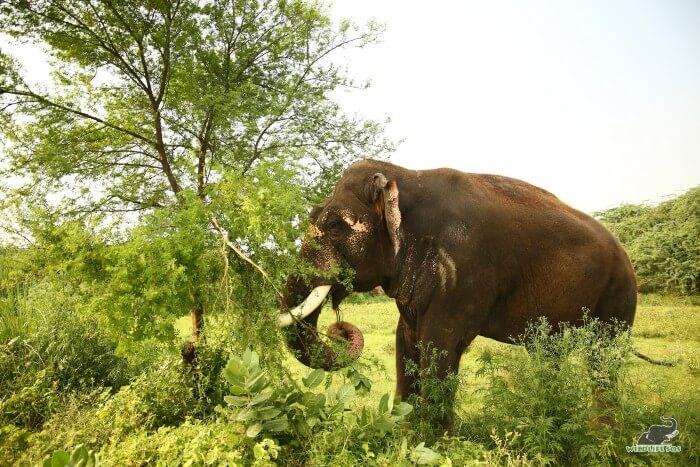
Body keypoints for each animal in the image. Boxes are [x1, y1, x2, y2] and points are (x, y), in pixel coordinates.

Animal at [276, 159, 636, 426]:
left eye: (335, 226)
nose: (340, 330)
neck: (405, 176)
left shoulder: (465, 271)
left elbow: (441, 344)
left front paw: (435, 442)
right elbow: (406, 341)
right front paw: (406, 433)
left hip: (618, 299)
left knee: (604, 359)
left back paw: (601, 432)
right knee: (548, 353)